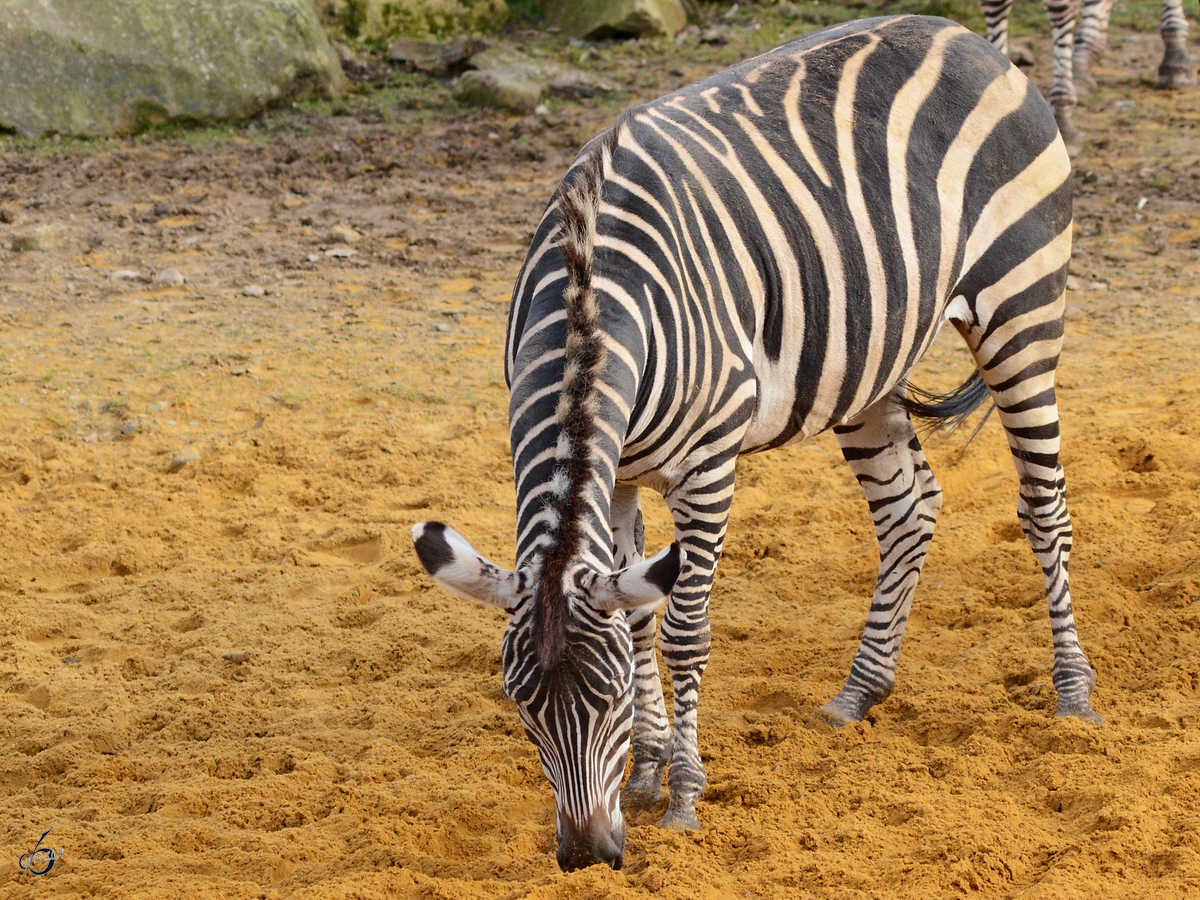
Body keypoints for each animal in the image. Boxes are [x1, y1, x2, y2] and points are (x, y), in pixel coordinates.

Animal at [410, 14, 1099, 873]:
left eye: (606, 699)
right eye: (520, 705)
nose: (587, 856)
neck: (588, 295)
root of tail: (963, 35)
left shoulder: (706, 466)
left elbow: (682, 632)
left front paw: (682, 796)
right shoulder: (621, 471)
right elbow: (638, 616)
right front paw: (649, 769)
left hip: (1021, 307)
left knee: (1044, 507)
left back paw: (1072, 691)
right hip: (865, 362)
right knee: (908, 508)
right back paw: (861, 689)